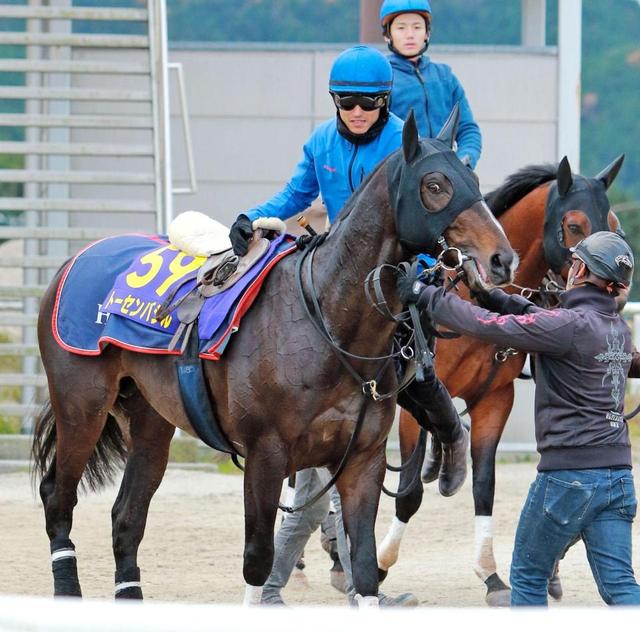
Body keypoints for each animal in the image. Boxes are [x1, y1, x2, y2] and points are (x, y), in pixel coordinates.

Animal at [32, 111, 516, 604]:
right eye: (435, 184)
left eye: (473, 180)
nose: (501, 257)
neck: (324, 320)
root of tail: (77, 257)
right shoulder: (265, 457)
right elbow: (258, 560)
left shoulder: (362, 461)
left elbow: (363, 568)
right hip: (82, 406)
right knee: (58, 494)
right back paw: (67, 588)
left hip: (150, 419)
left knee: (127, 514)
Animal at [376, 153, 624, 608]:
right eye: (574, 225)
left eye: (613, 222)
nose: (615, 293)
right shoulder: (414, 403)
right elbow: (408, 490)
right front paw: (380, 565)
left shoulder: (494, 399)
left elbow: (484, 484)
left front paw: (492, 576)